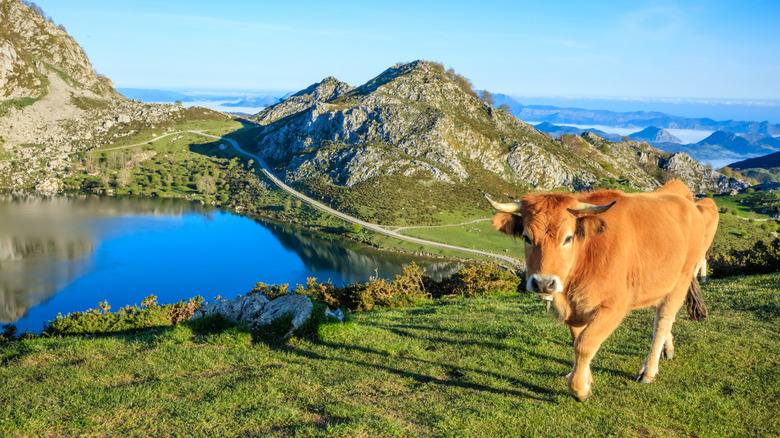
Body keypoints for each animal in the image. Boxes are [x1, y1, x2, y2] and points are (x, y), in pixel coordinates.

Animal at [484, 181, 708, 400]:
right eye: (526, 237)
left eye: (568, 238)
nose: (543, 283)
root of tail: (684, 199)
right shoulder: (575, 310)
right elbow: (578, 339)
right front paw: (585, 378)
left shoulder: (613, 307)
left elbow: (585, 343)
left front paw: (579, 389)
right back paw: (667, 349)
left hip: (681, 280)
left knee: (662, 322)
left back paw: (648, 370)